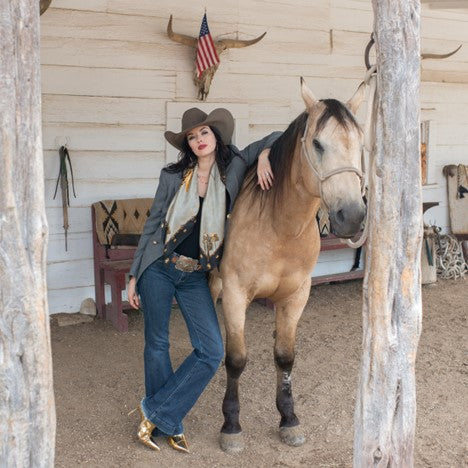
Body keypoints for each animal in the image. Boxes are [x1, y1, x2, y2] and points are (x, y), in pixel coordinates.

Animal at [210, 78, 368, 452]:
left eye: (361, 144)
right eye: (317, 143)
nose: (352, 216)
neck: (277, 224)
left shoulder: (296, 296)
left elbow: (284, 356)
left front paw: (288, 418)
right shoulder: (235, 293)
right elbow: (236, 360)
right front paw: (231, 425)